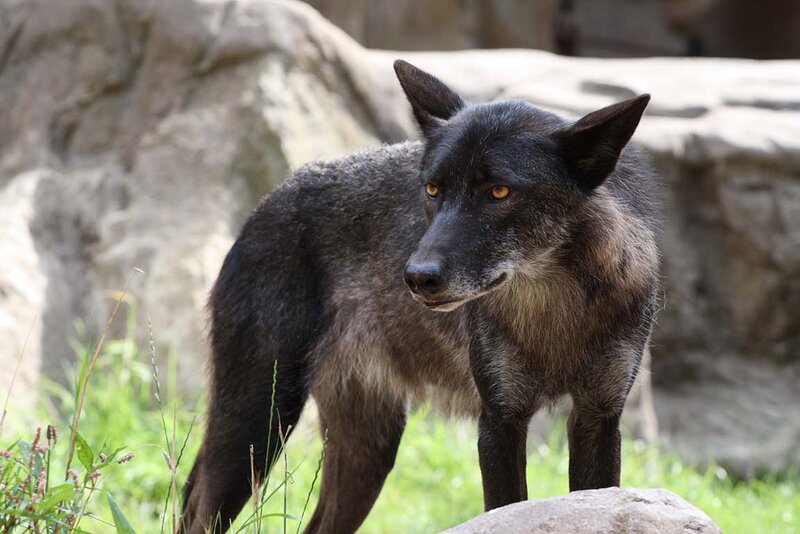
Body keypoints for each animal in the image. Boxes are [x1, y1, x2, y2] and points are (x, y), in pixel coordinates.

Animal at [179, 60, 660, 533]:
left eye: (499, 192)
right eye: (432, 190)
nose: (416, 277)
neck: (554, 308)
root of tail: (269, 199)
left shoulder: (598, 418)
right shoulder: (499, 421)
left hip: (366, 453)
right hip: (258, 421)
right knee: (199, 510)